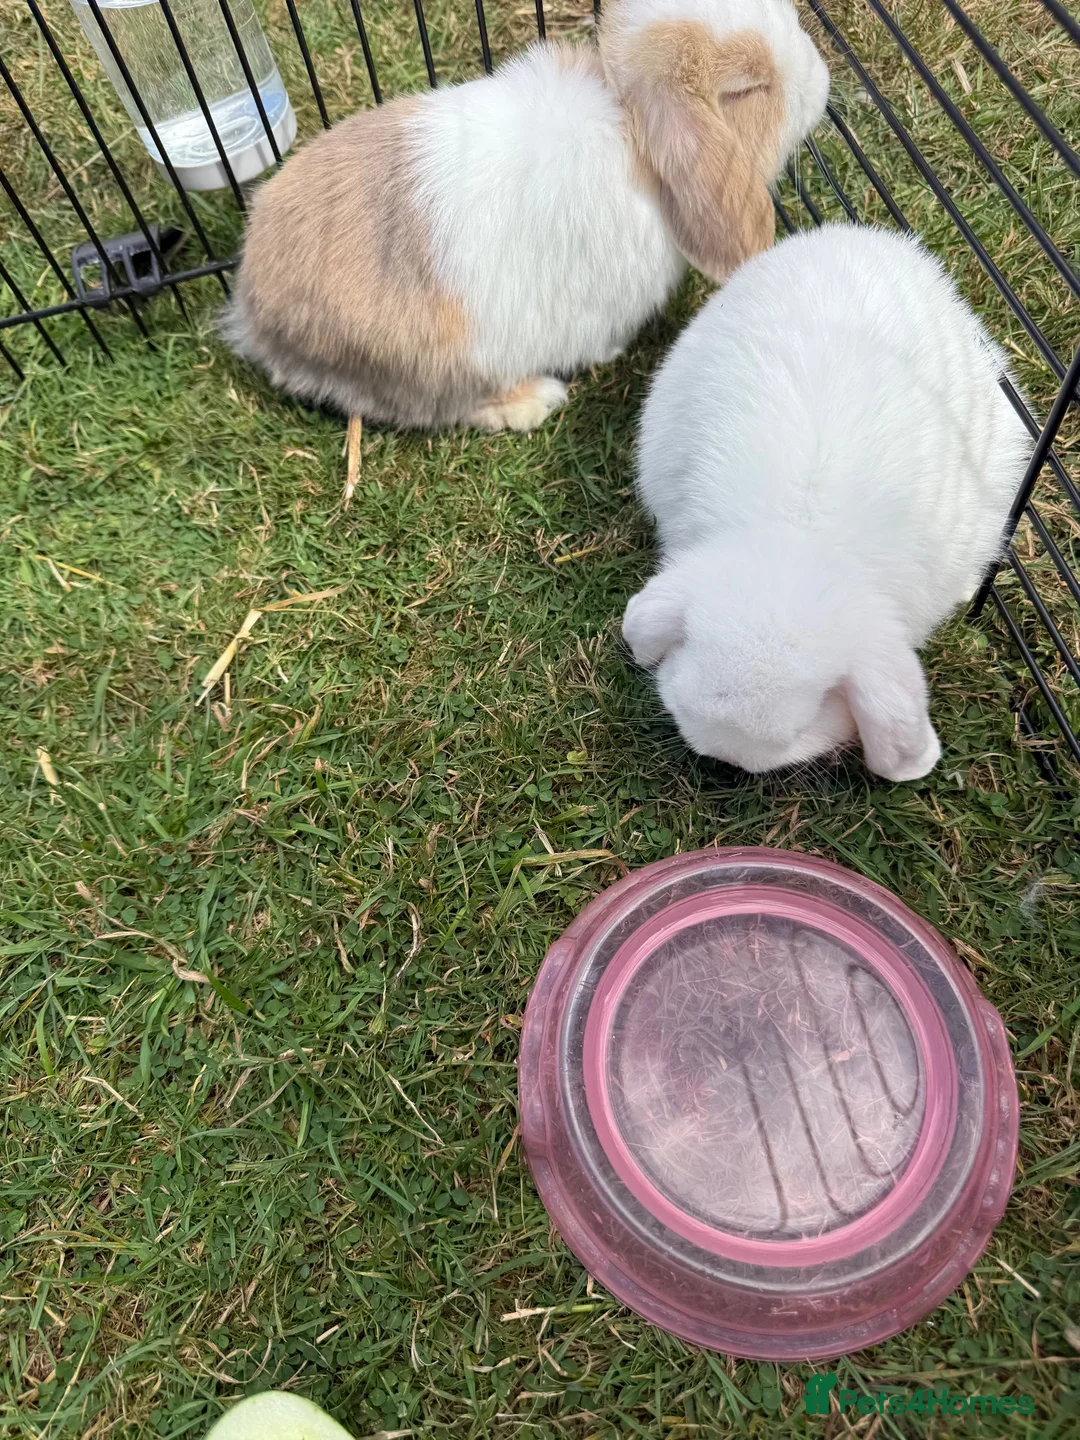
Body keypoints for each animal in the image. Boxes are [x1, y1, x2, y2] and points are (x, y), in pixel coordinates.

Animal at [222, 0, 829, 431]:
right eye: (746, 88)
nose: (822, 75)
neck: (633, 130)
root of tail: (253, 311)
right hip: (436, 365)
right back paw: (535, 401)